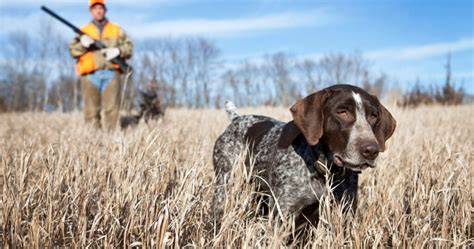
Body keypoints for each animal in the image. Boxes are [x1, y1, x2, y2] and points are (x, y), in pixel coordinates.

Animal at [211, 83, 396, 230]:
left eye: (374, 116)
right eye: (342, 112)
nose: (372, 150)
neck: (324, 168)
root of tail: (237, 119)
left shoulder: (344, 211)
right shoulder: (283, 213)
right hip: (224, 181)